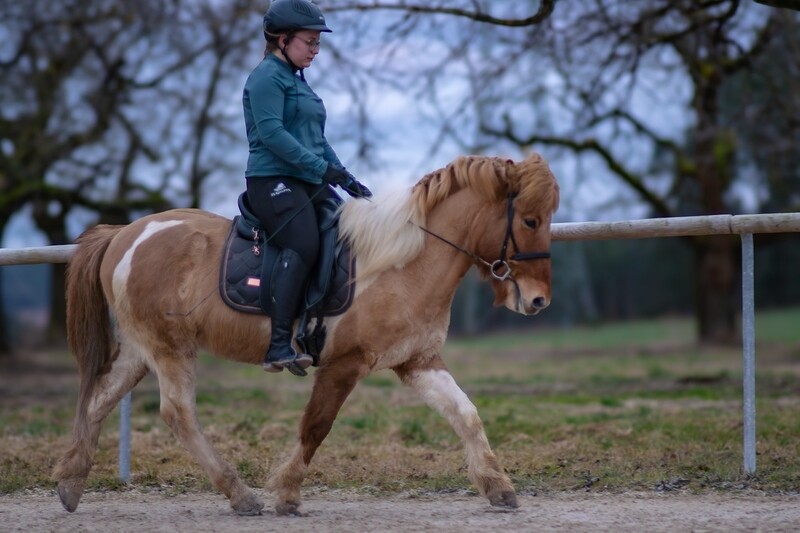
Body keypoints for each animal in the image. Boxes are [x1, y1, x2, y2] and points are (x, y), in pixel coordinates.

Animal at [53, 153, 560, 516]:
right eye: (530, 220)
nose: (538, 301)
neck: (403, 262)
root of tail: (124, 236)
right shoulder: (344, 364)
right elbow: (316, 426)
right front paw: (287, 494)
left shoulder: (417, 362)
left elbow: (466, 414)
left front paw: (499, 488)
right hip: (168, 348)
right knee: (178, 414)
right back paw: (241, 496)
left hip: (140, 350)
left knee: (100, 399)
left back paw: (70, 484)